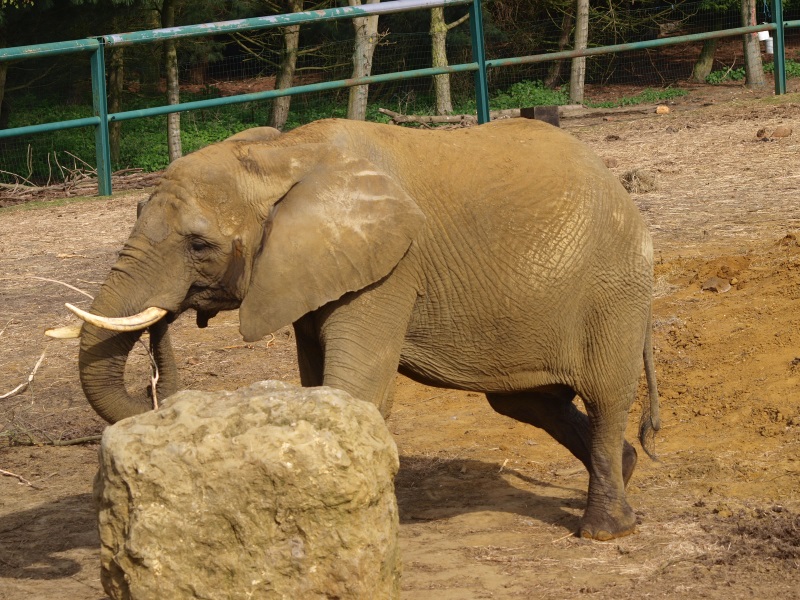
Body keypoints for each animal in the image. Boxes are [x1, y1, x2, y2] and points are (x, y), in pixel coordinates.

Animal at [68, 117, 660, 541]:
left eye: (199, 244)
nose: (169, 320)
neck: (284, 154)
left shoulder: (391, 268)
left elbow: (357, 389)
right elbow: (319, 389)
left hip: (613, 287)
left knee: (605, 395)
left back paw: (604, 530)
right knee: (530, 401)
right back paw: (627, 468)